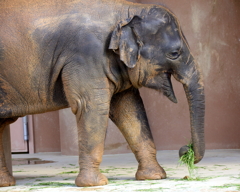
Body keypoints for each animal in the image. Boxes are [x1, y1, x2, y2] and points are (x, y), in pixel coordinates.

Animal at [0, 0, 205, 188]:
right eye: (174, 53)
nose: (184, 150)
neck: (129, 9)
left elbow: (129, 109)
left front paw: (154, 177)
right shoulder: (86, 56)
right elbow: (91, 105)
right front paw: (94, 184)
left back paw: (6, 183)